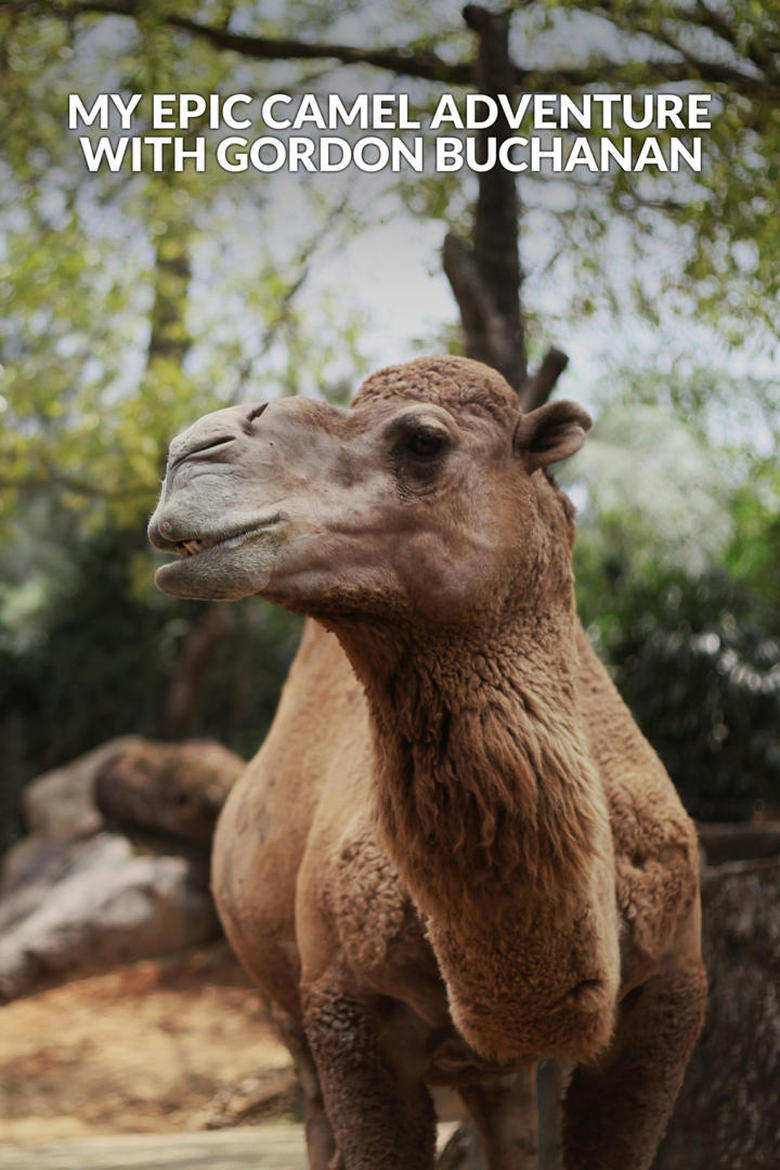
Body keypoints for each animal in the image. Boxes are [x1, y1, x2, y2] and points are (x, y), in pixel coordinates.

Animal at [147, 355, 706, 1170]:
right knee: (317, 1116)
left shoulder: (670, 999)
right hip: (283, 1009)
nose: (191, 451)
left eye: (423, 440)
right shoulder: (344, 1011)